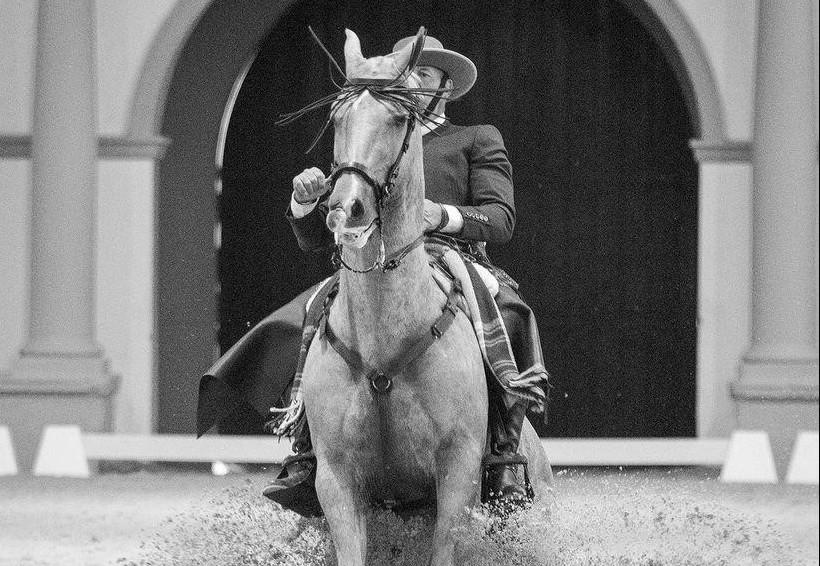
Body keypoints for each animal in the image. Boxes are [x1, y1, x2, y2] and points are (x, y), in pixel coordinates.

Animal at [298, 28, 556, 564]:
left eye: (399, 117)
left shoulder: (457, 477)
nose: (346, 207)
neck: (383, 350)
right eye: (338, 116)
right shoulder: (337, 481)